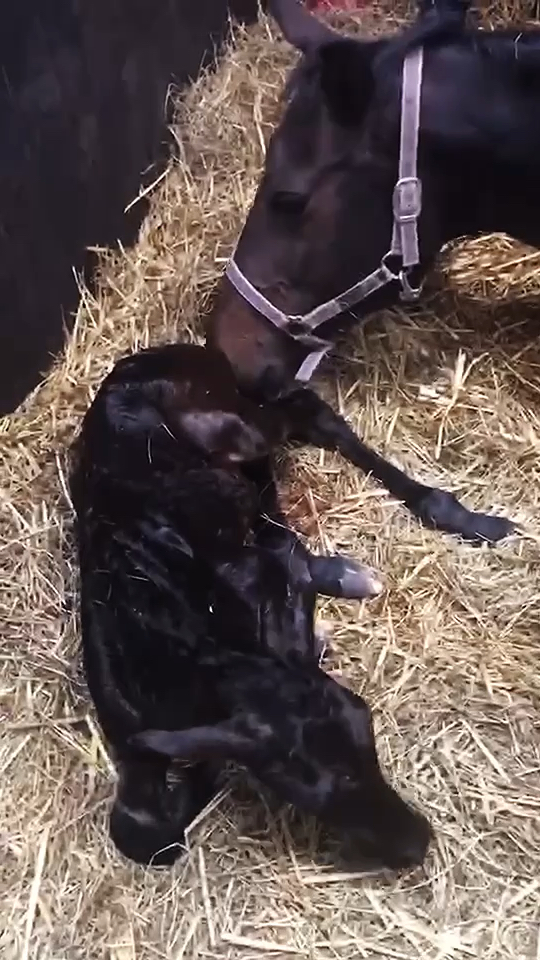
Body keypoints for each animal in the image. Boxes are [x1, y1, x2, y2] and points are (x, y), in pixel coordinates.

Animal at [70, 342, 430, 868]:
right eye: (308, 796)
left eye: (372, 741)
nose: (418, 842)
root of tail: (164, 350)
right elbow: (146, 835)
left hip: (233, 425)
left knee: (299, 410)